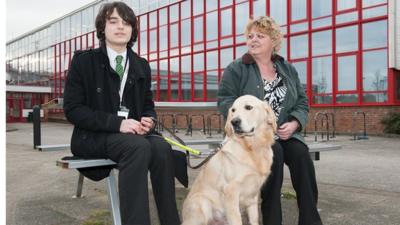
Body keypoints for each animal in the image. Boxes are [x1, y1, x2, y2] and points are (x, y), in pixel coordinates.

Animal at [183, 95, 276, 225]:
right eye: (233, 110)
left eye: (248, 107)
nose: (234, 122)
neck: (251, 147)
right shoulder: (231, 191)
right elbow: (236, 219)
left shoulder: (253, 196)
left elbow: (254, 219)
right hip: (202, 203)